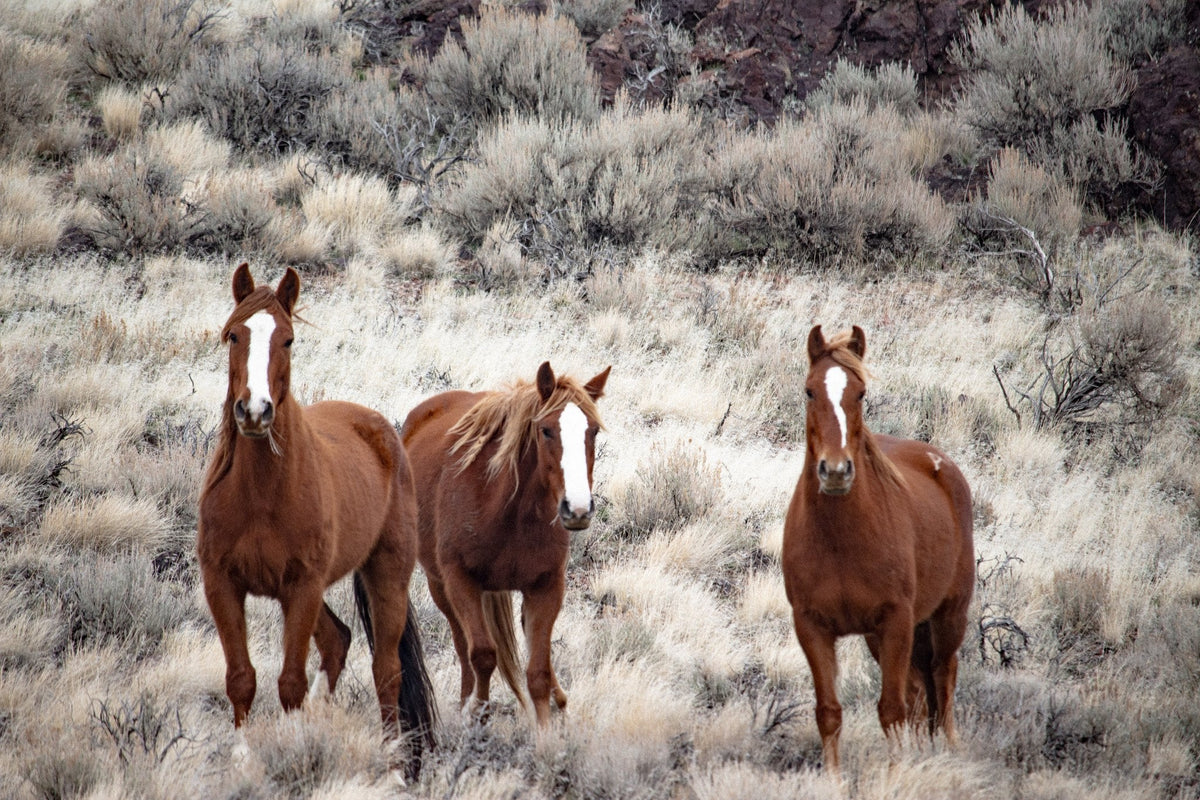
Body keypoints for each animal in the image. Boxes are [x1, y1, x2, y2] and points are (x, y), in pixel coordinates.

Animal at [197, 263, 437, 777]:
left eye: (288, 340)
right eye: (233, 335)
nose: (254, 411)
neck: (261, 496)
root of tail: (385, 429)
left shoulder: (302, 586)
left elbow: (290, 680)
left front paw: (293, 745)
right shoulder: (222, 583)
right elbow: (241, 677)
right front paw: (243, 759)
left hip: (386, 574)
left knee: (386, 671)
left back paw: (392, 761)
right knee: (338, 641)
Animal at [401, 361, 610, 726]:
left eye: (593, 431)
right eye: (546, 430)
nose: (578, 508)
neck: (508, 512)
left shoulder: (546, 587)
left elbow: (537, 671)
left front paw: (546, 733)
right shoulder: (460, 581)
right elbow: (483, 654)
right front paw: (476, 713)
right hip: (440, 586)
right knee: (462, 642)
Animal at [782, 325, 974, 771]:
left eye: (861, 393)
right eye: (809, 391)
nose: (835, 471)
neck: (841, 541)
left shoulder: (897, 621)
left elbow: (891, 709)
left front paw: (896, 774)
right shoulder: (811, 626)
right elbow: (829, 713)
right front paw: (834, 780)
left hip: (949, 615)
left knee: (944, 675)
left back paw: (951, 748)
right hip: (879, 636)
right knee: (920, 690)